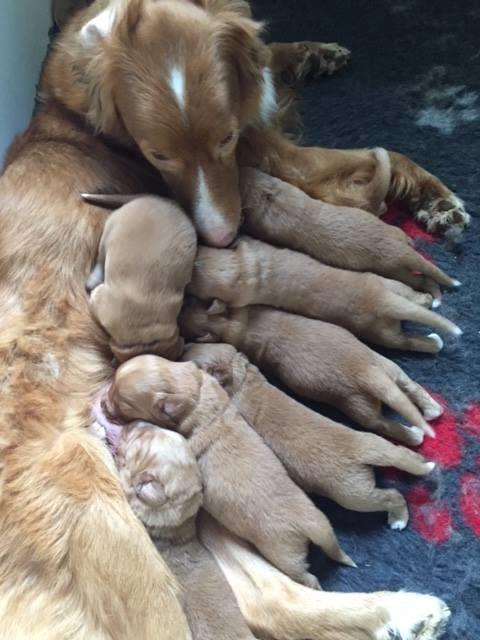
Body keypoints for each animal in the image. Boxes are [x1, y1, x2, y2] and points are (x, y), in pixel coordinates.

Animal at [102, 358, 356, 588]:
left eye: (121, 403)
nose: (103, 403)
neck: (194, 391)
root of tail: (311, 525)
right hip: (321, 523)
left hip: (285, 553)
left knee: (306, 575)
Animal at [181, 298, 442, 442]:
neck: (225, 321)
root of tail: (367, 372)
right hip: (384, 368)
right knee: (408, 383)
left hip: (362, 404)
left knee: (385, 423)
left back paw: (415, 433)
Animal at [183, 344, 438, 528]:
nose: (184, 344)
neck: (241, 377)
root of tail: (362, 452)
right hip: (376, 443)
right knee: (402, 452)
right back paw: (417, 446)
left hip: (355, 496)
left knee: (391, 496)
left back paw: (398, 519)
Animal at [188, 235, 462, 350]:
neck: (237, 267)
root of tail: (380, 300)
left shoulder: (240, 292)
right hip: (389, 289)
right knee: (413, 307)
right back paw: (429, 308)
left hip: (379, 329)